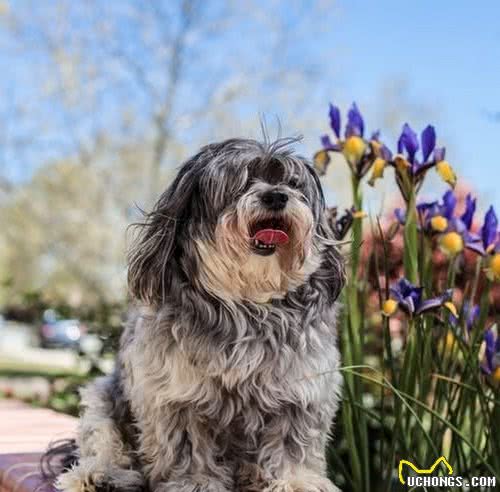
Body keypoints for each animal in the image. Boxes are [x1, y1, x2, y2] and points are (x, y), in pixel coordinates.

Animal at [48, 137, 346, 492]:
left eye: (292, 183)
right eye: (241, 181)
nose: (276, 195)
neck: (247, 301)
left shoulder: (301, 392)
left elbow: (292, 445)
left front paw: (296, 481)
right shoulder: (177, 396)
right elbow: (188, 448)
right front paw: (196, 483)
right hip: (102, 397)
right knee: (105, 442)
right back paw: (99, 475)